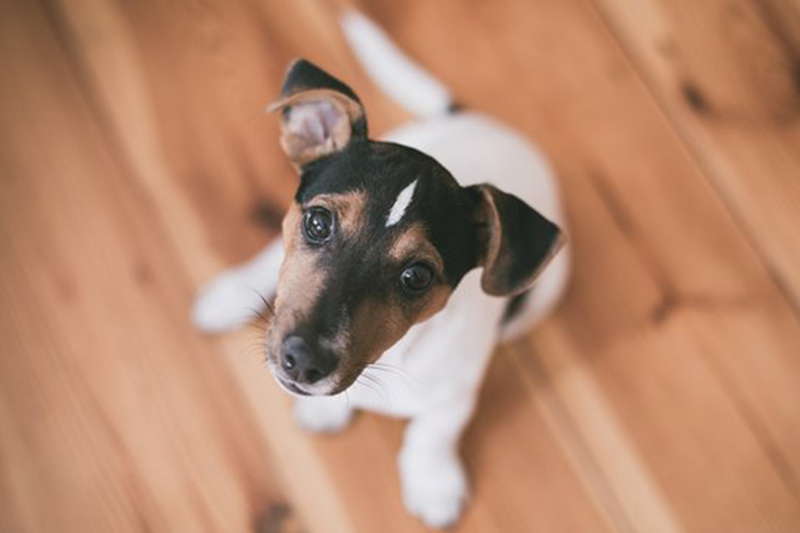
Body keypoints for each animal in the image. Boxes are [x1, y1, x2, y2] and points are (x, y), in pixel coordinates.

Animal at [192, 10, 568, 524]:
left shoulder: (457, 391)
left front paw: (432, 481)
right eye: (318, 222)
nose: (303, 362)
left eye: (416, 276)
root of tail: (484, 123)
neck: (394, 356)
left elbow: (434, 431)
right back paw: (228, 297)